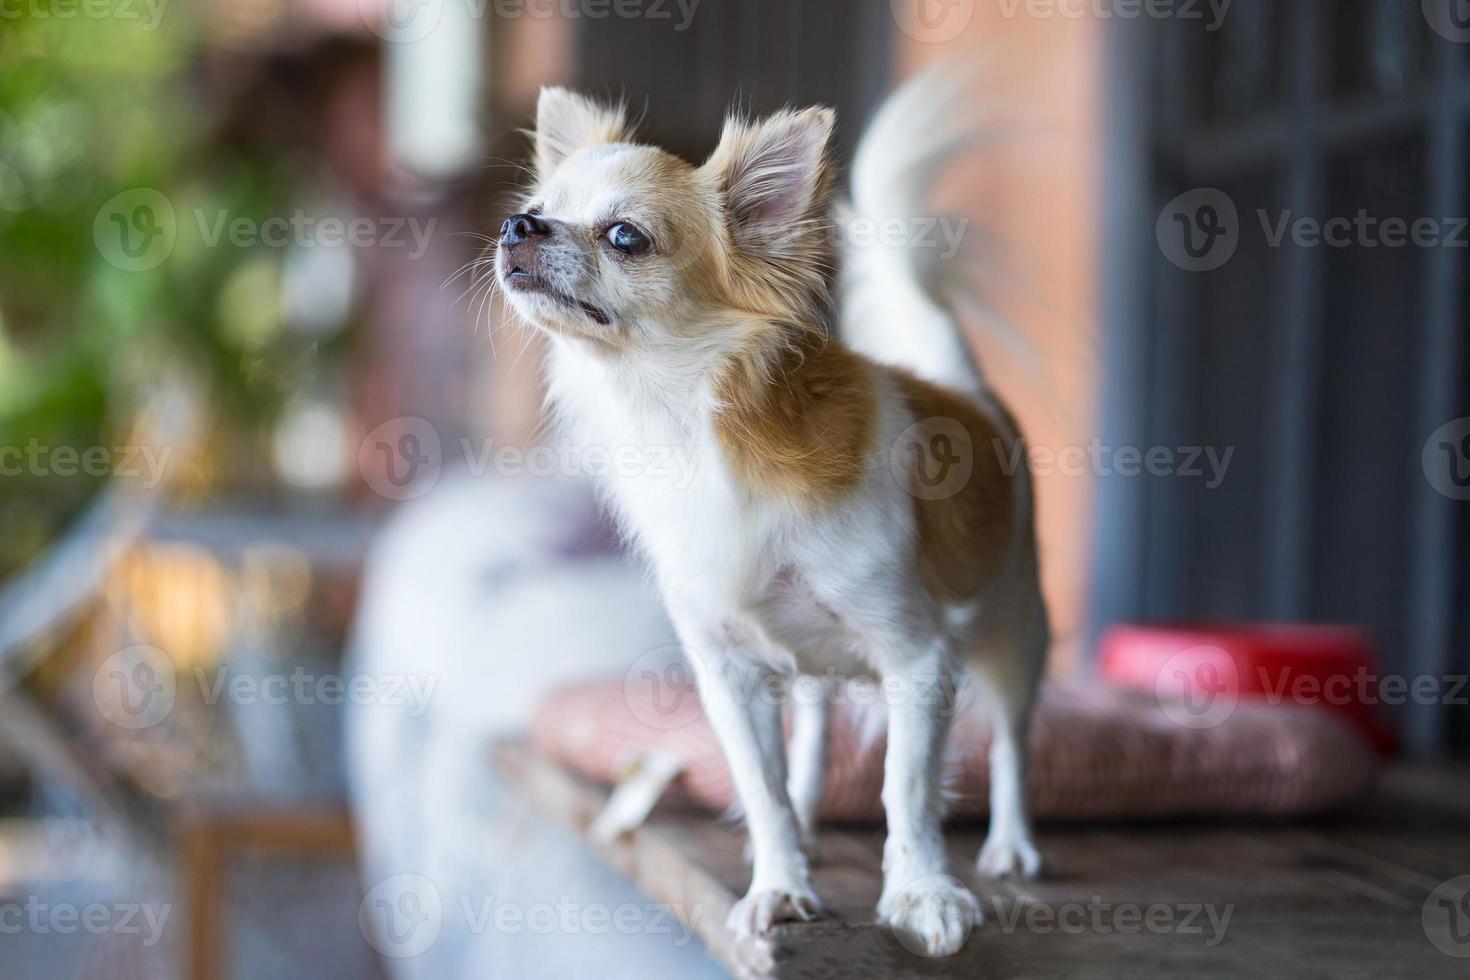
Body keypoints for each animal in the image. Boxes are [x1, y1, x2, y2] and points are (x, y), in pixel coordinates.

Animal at [499, 74, 1052, 957]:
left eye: (625, 236)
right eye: (536, 206)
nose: (518, 225)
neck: (687, 425)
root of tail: (965, 389)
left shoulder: (919, 659)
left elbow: (907, 790)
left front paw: (923, 895)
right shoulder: (728, 670)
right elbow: (762, 789)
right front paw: (780, 886)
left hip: (1016, 633)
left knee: (1011, 742)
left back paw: (1011, 844)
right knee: (817, 728)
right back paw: (814, 816)